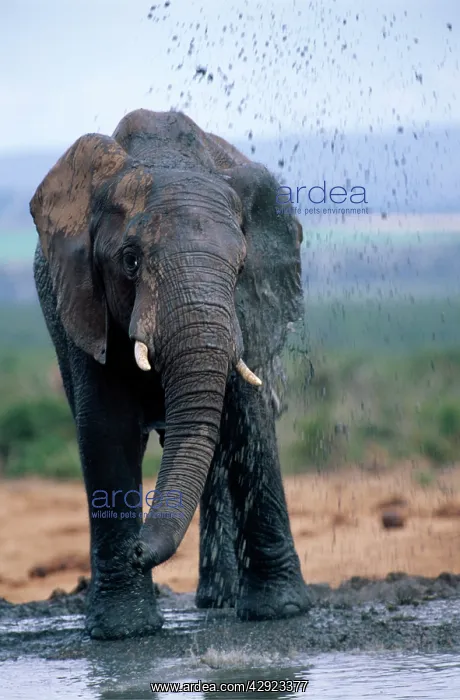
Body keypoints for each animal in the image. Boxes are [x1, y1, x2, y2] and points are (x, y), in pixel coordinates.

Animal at [30, 108, 311, 640]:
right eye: (131, 261)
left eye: (241, 267)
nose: (141, 551)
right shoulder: (80, 301)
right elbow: (106, 428)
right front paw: (123, 631)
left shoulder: (247, 311)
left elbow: (248, 423)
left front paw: (281, 611)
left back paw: (219, 600)